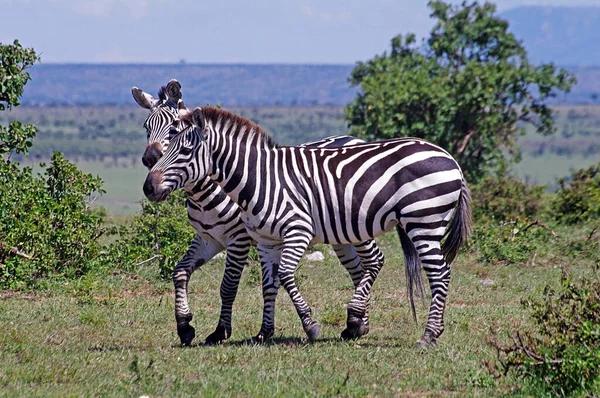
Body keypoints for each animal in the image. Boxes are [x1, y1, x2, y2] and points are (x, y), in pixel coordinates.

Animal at [131, 81, 386, 346]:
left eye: (173, 128)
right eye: (146, 127)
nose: (150, 160)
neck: (204, 193)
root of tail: (354, 138)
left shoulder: (239, 238)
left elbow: (229, 286)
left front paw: (220, 331)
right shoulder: (209, 239)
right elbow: (180, 272)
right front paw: (184, 326)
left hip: (358, 225)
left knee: (372, 261)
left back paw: (357, 322)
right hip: (341, 234)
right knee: (357, 269)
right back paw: (357, 325)